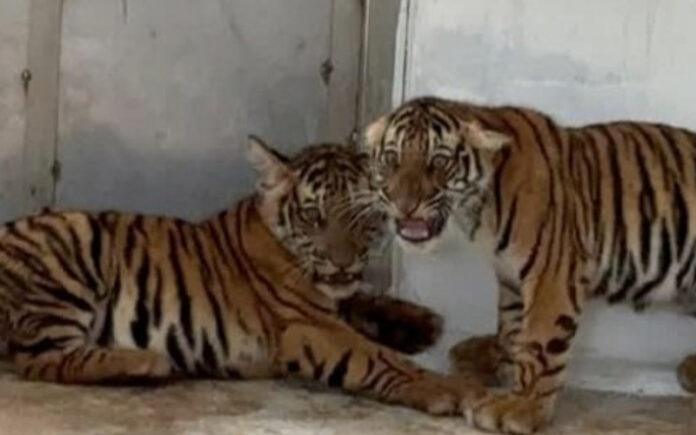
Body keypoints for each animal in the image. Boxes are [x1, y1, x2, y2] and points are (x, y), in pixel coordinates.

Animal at [0, 137, 483, 416]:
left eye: (363, 220)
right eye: (314, 217)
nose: (343, 262)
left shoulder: (332, 304)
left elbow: (362, 302)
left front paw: (422, 322)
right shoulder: (310, 328)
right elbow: (381, 359)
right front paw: (453, 389)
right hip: (70, 247)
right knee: (40, 359)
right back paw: (144, 363)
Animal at [363, 95, 696, 433]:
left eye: (439, 162)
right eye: (391, 159)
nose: (404, 205)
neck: (481, 207)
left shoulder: (552, 274)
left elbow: (540, 342)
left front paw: (519, 407)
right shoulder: (510, 277)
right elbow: (511, 328)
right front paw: (507, 369)